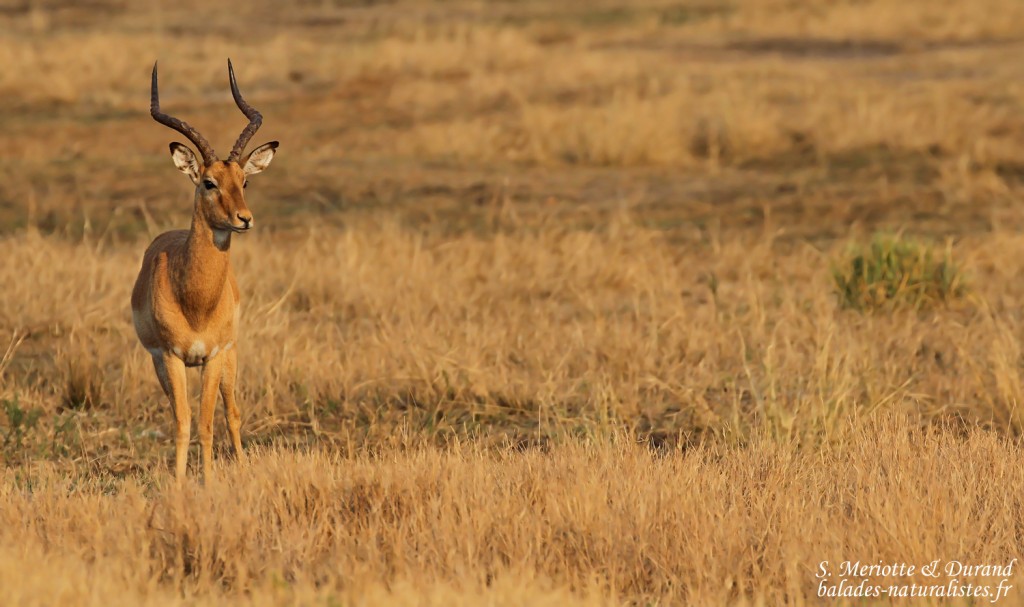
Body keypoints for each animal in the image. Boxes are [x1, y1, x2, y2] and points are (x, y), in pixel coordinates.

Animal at [131, 60, 278, 482]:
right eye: (209, 182)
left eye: (244, 181)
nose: (244, 219)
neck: (195, 299)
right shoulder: (170, 357)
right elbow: (183, 423)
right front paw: (181, 483)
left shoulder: (212, 356)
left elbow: (209, 422)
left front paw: (209, 482)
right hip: (165, 365)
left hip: (230, 356)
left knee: (232, 413)